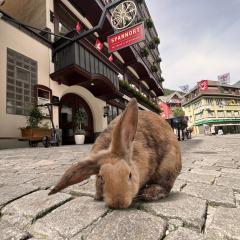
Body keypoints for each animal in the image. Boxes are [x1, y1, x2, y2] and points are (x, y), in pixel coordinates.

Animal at [48, 98, 181, 209]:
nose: (118, 203)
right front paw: (97, 196)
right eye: (101, 177)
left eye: (130, 175)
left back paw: (150, 193)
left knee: (166, 185)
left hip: (168, 166)